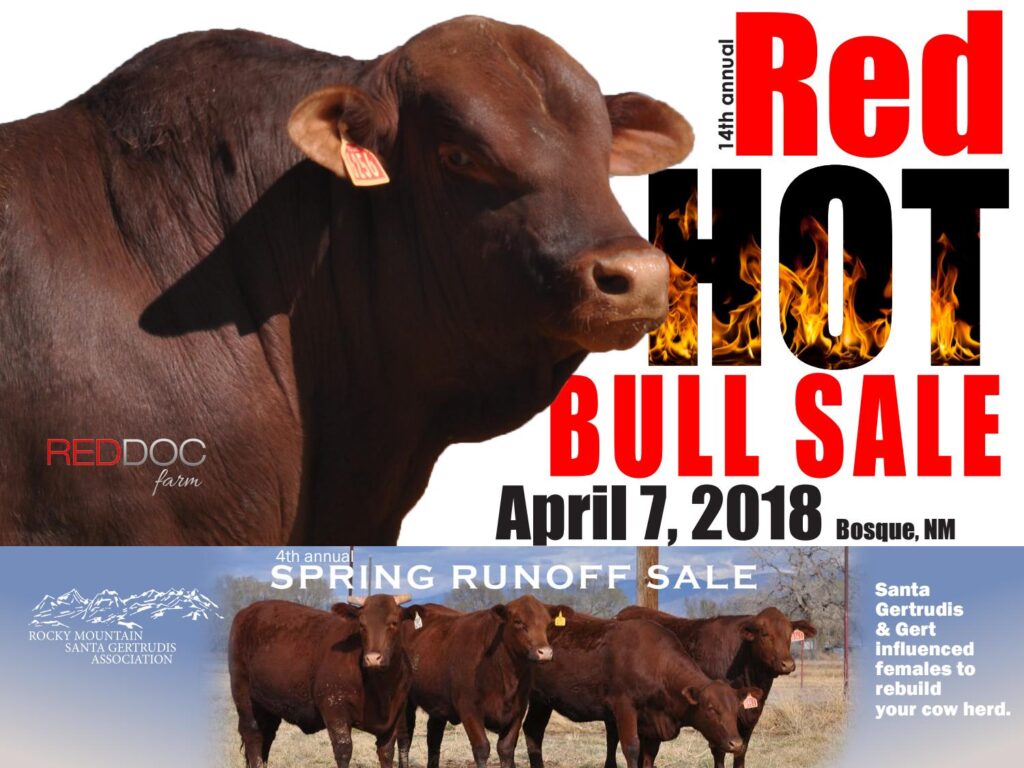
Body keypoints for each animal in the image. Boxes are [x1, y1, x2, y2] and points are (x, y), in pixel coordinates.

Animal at [228, 593, 413, 768]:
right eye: (362, 625)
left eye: (394, 623)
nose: (373, 658)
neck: (381, 690)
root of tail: (247, 610)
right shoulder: (334, 709)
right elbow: (344, 750)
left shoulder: (394, 719)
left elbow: (387, 753)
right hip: (243, 693)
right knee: (253, 734)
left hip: (268, 704)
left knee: (267, 735)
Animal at [397, 595, 553, 768]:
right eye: (518, 621)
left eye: (547, 623)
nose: (545, 652)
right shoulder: (469, 709)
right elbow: (482, 748)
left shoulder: (518, 711)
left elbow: (506, 748)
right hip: (405, 700)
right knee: (404, 737)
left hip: (438, 703)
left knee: (434, 737)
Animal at [523, 606, 762, 768]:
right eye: (711, 709)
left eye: (735, 709)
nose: (736, 743)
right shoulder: (624, 708)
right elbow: (631, 748)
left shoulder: (653, 725)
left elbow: (648, 756)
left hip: (541, 701)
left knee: (533, 731)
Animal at [616, 606, 817, 768]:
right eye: (765, 634)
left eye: (790, 634)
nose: (788, 664)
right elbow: (720, 753)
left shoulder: (748, 721)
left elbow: (740, 752)